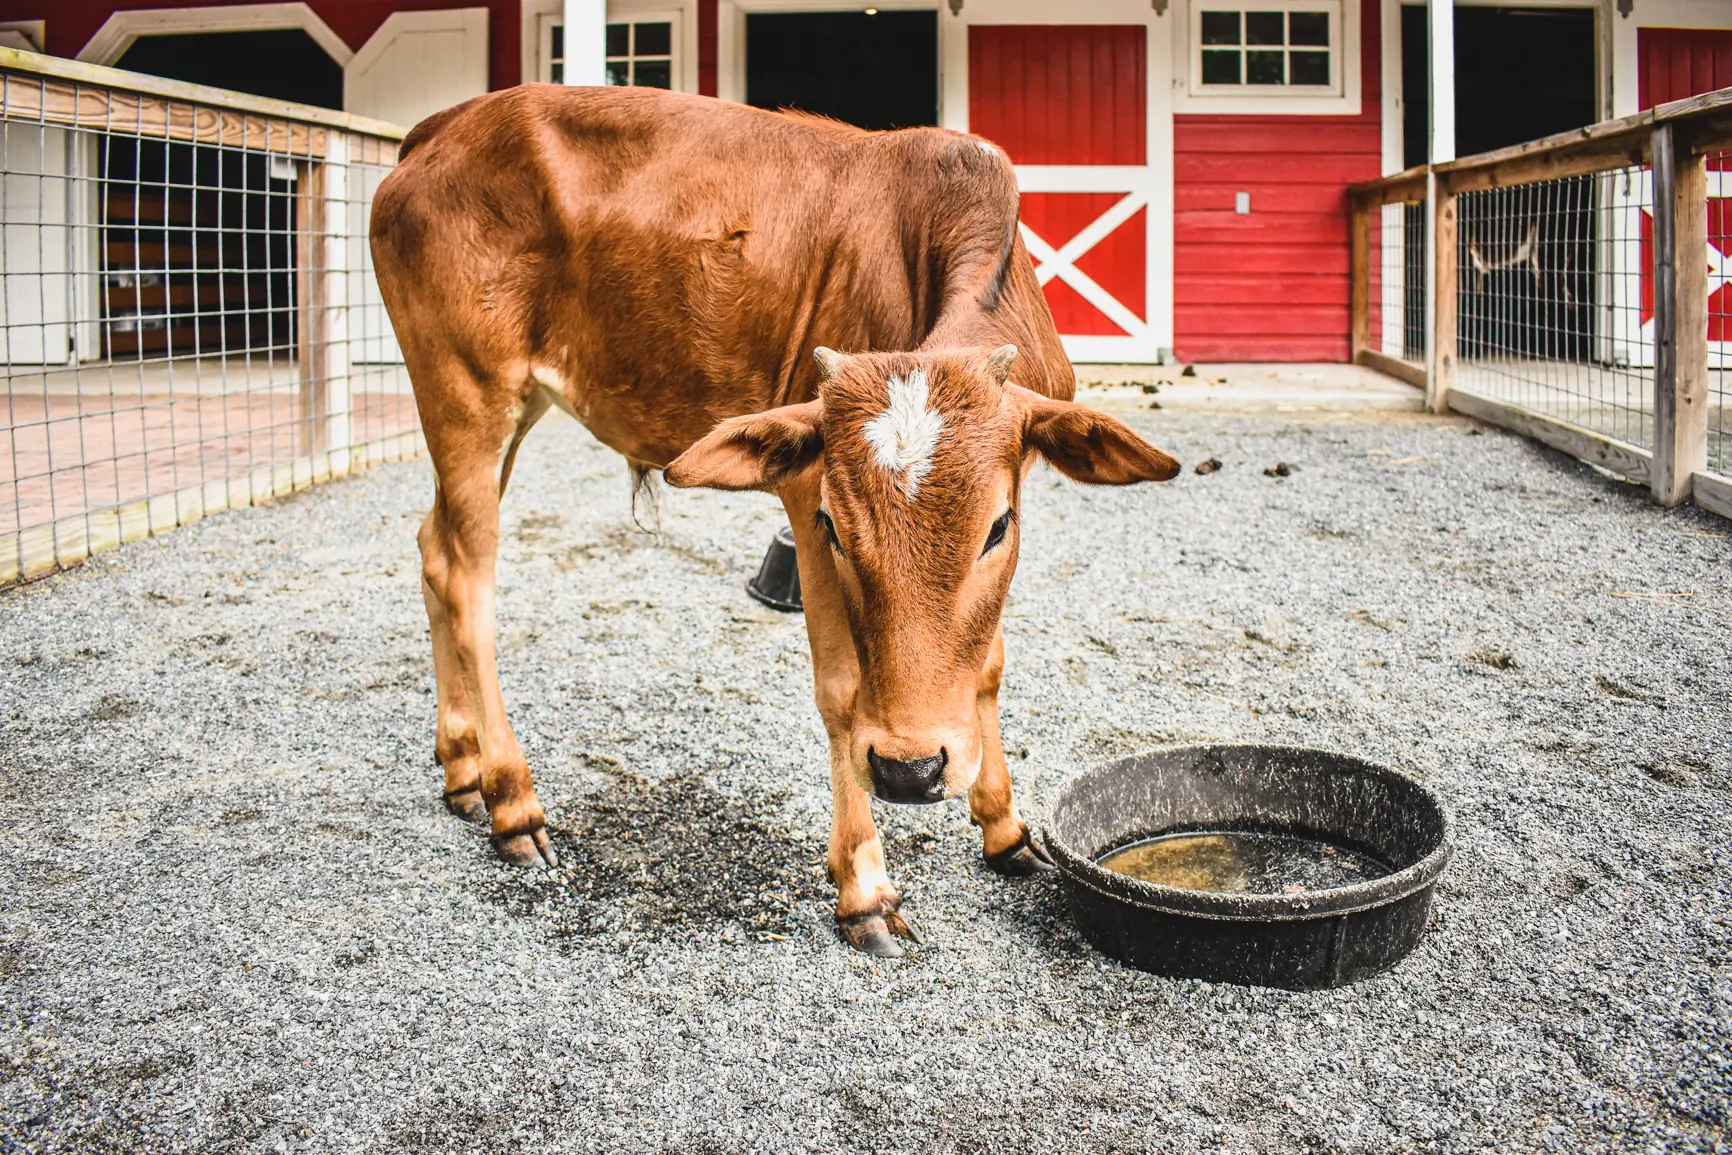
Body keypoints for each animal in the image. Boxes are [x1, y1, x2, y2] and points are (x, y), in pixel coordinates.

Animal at [370, 85, 1180, 957]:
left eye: (997, 528)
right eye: (834, 528)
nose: (910, 769)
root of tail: (444, 126)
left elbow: (988, 661)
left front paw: (1003, 825)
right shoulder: (803, 486)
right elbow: (842, 689)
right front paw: (864, 885)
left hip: (505, 413)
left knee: (434, 549)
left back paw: (460, 765)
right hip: (467, 393)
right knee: (469, 582)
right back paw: (510, 798)